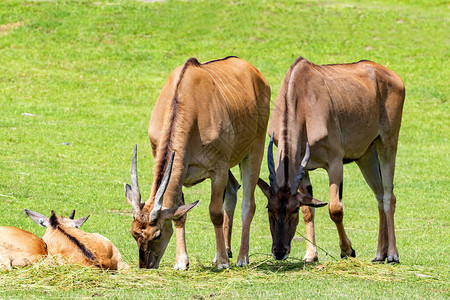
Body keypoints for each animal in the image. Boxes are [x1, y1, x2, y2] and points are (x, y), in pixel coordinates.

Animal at [124, 56, 270, 270]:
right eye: (134, 233)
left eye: (157, 234)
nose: (146, 265)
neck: (188, 102)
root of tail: (256, 73)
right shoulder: (180, 169)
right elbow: (179, 214)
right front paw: (181, 262)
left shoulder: (218, 169)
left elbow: (215, 212)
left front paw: (223, 263)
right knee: (232, 190)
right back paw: (224, 253)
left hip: (254, 149)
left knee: (248, 204)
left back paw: (241, 258)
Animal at [258, 55, 406, 262]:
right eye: (268, 208)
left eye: (293, 209)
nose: (279, 251)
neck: (300, 98)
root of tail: (390, 74)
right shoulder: (303, 169)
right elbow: (309, 210)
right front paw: (311, 255)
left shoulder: (335, 163)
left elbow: (335, 209)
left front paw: (347, 250)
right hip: (366, 155)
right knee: (379, 195)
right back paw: (379, 254)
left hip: (387, 143)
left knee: (388, 196)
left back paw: (392, 254)